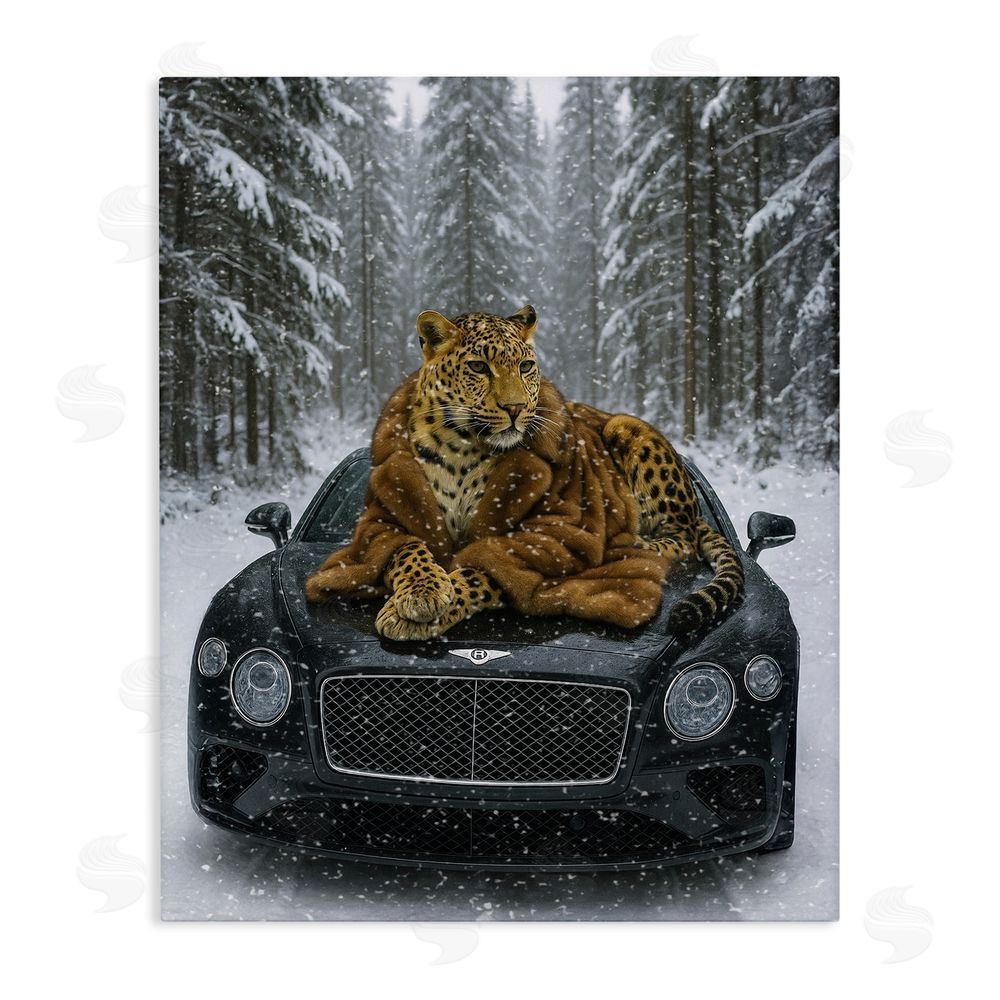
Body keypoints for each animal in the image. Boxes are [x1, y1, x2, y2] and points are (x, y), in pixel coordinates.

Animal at [362, 304, 745, 642]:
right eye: (478, 367)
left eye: (526, 366)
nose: (515, 408)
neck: (462, 447)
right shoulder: (386, 520)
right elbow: (405, 549)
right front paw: (422, 591)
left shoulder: (546, 538)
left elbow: (480, 573)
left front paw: (412, 612)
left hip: (630, 432)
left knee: (683, 538)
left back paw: (630, 543)